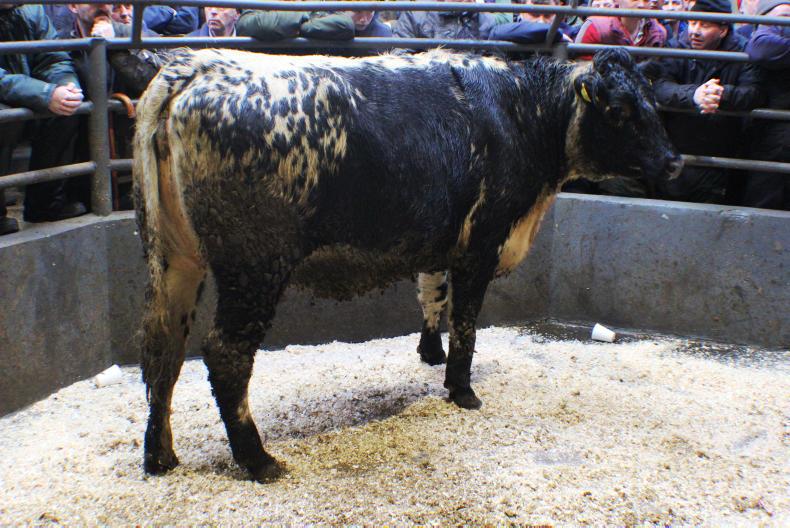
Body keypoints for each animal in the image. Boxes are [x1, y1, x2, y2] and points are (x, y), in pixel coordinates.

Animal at [133, 47, 682, 482]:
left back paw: (160, 457)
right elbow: (467, 322)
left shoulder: (438, 240)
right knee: (226, 354)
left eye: (654, 105)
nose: (674, 161)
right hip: (255, 265)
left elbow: (431, 294)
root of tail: (195, 68)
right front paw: (462, 390)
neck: (523, 114)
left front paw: (429, 353)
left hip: (172, 258)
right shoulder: (482, 242)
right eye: (619, 110)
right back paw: (259, 461)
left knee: (163, 349)